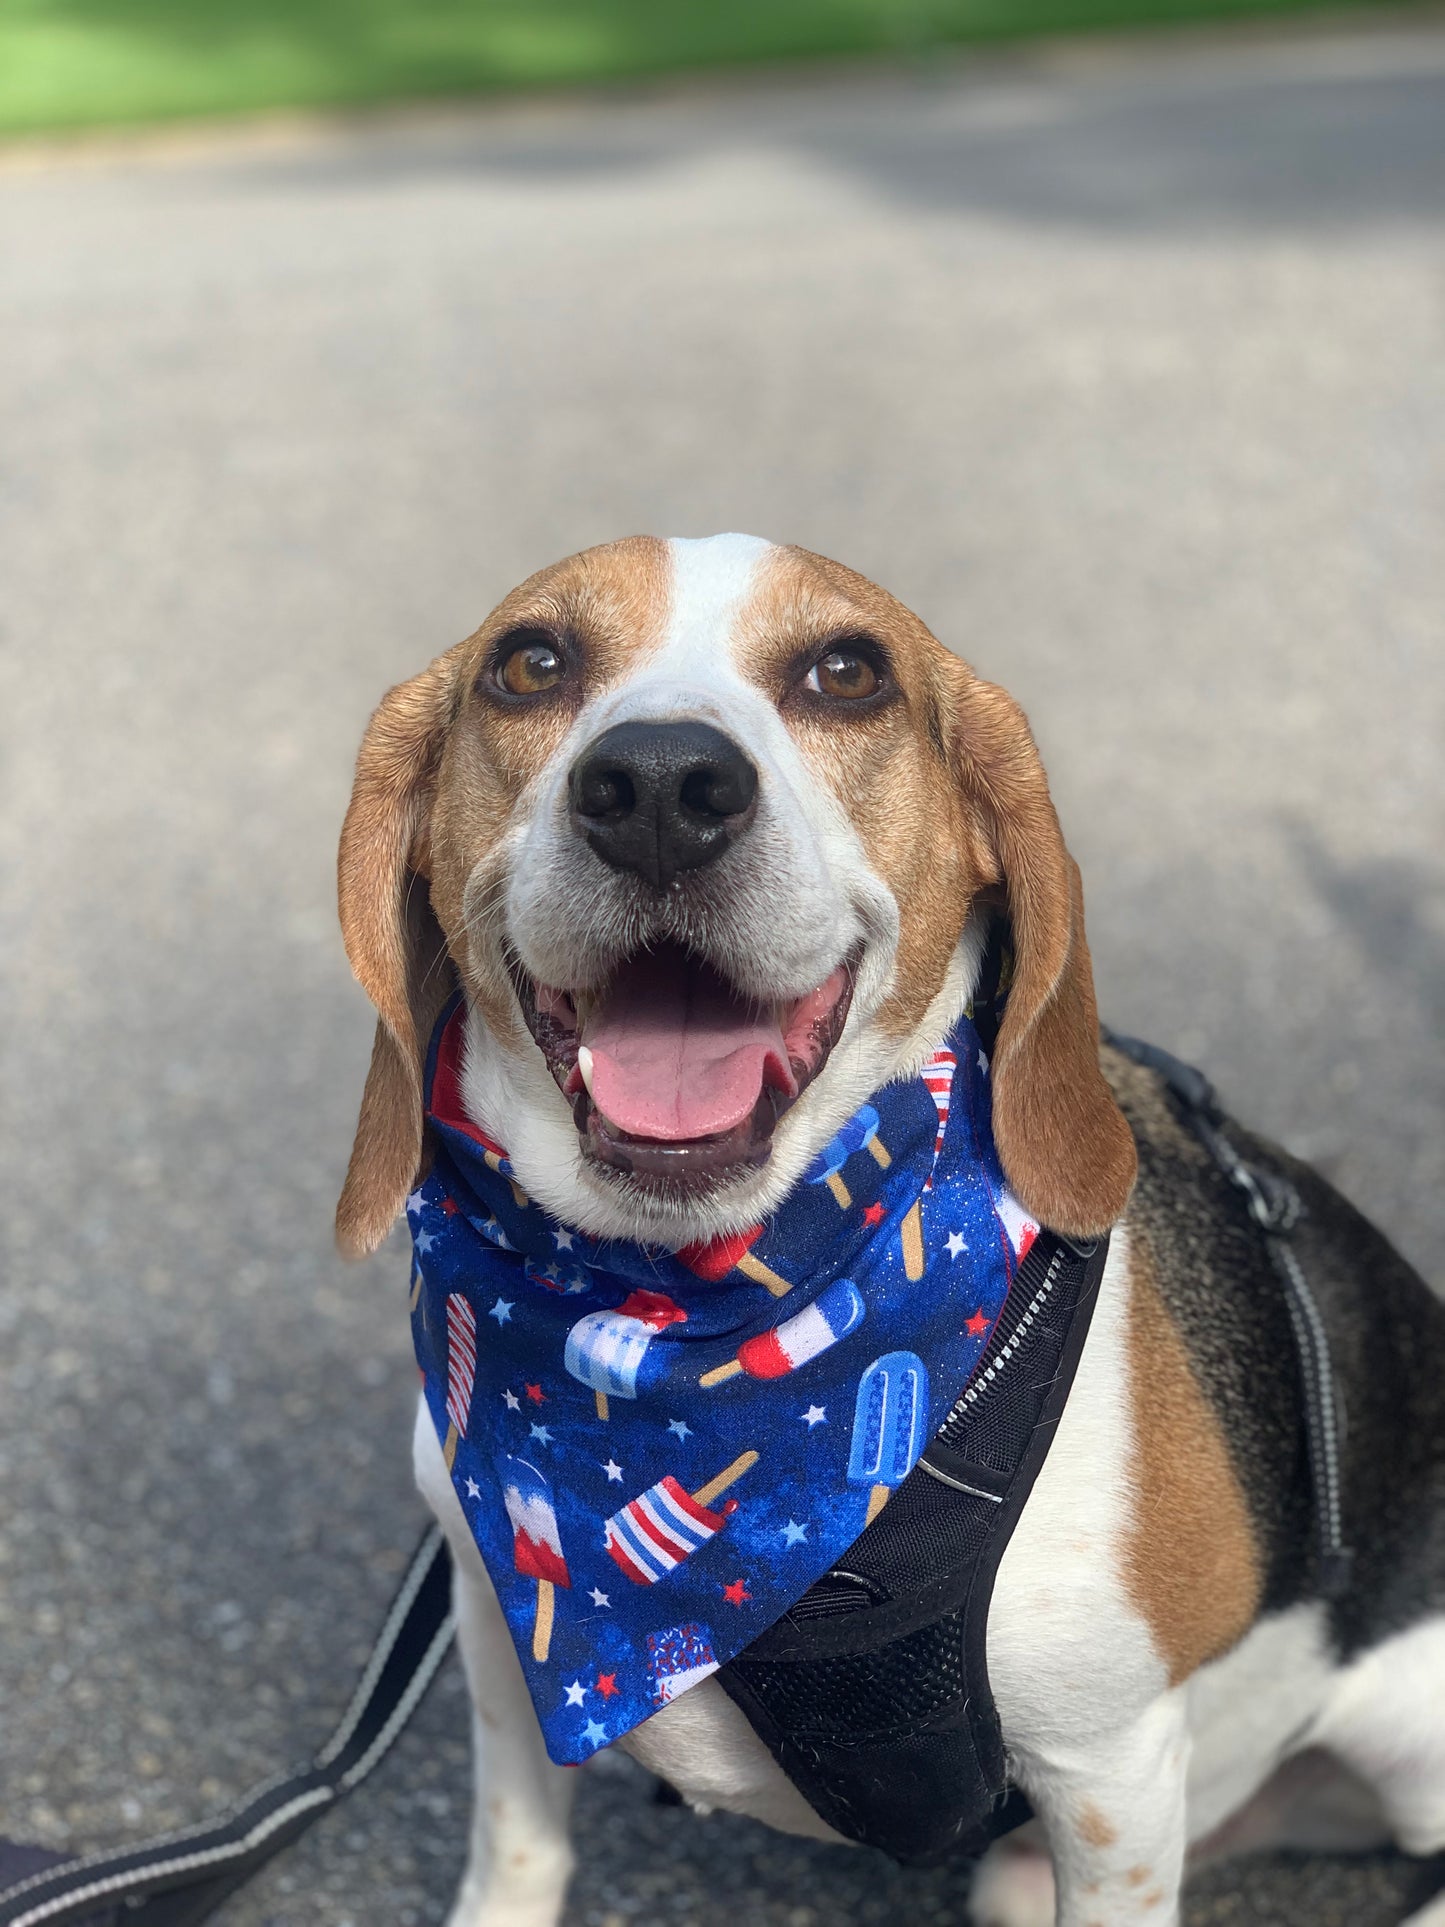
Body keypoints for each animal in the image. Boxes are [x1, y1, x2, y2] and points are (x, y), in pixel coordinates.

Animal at [333, 531, 1445, 1927]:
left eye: (845, 673)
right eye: (527, 663)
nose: (658, 787)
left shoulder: (1111, 1775)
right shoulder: (494, 1624)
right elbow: (518, 1850)